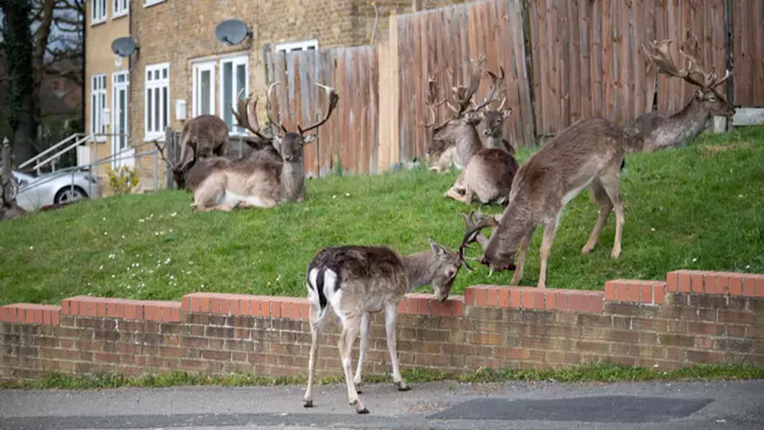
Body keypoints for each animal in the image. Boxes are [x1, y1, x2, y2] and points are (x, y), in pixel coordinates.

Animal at [185, 80, 338, 212]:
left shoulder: (302, 197)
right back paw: (232, 205)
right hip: (214, 185)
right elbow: (272, 204)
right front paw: (243, 203)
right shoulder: (257, 185)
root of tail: (195, 191)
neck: (287, 192)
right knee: (198, 207)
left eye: (300, 143)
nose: (287, 157)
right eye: (282, 142)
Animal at [302, 230, 474, 414]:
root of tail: (322, 269)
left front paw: (358, 382)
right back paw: (357, 403)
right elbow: (391, 340)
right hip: (350, 307)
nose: (443, 297)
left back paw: (308, 399)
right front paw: (400, 382)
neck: (406, 272)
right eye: (452, 272)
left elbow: (364, 343)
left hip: (315, 304)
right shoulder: (392, 300)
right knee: (342, 344)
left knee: (314, 347)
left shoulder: (367, 309)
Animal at [424, 58, 520, 206]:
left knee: (467, 199)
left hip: (473, 178)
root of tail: (504, 194)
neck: (468, 156)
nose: (435, 134)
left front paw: (449, 191)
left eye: (451, 123)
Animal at [460, 116, 628, 288]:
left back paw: (616, 251)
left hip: (610, 170)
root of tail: (620, 131)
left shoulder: (553, 213)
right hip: (593, 180)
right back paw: (588, 247)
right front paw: (515, 279)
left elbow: (544, 249)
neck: (530, 201)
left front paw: (541, 284)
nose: (509, 267)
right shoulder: (532, 221)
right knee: (606, 205)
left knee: (619, 205)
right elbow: (524, 245)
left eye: (492, 264)